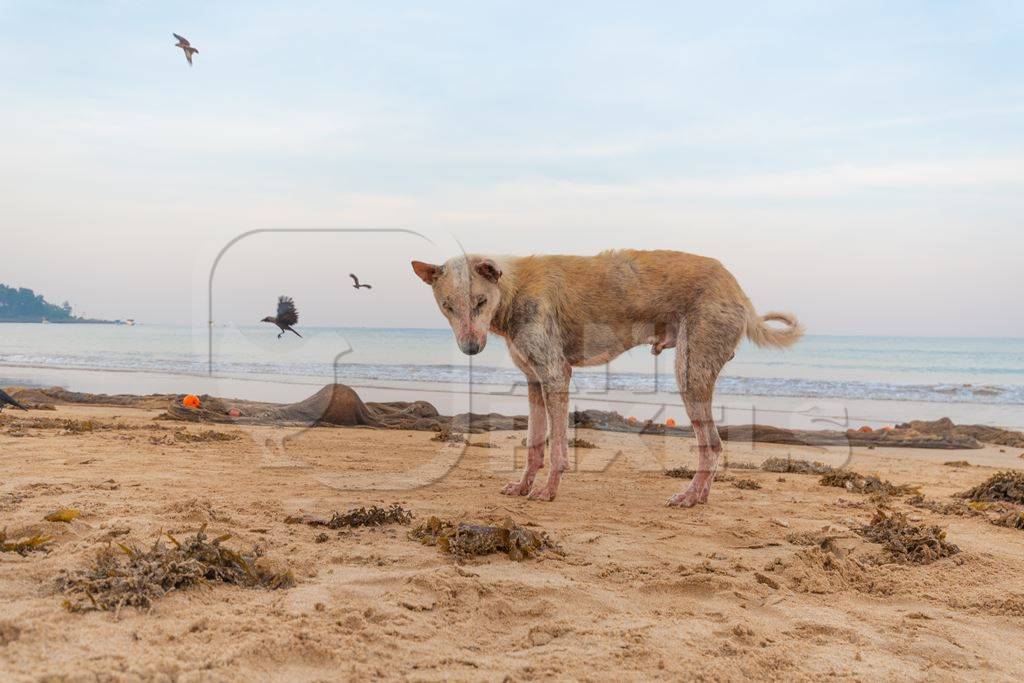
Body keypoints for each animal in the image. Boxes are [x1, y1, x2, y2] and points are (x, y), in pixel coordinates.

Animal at [411, 252, 802, 507]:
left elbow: (557, 448)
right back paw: (700, 496)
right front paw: (523, 487)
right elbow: (535, 445)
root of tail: (738, 291)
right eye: (447, 305)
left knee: (713, 446)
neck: (515, 288)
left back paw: (690, 495)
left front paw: (548, 492)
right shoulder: (535, 383)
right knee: (713, 446)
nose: (471, 348)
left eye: (480, 301)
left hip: (690, 374)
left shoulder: (555, 376)